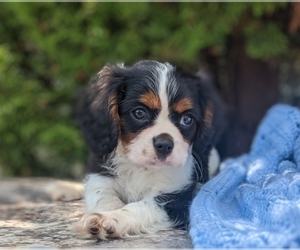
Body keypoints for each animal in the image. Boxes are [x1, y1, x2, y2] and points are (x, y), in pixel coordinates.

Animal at [74, 59, 226, 239]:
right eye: (139, 113)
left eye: (187, 119)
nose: (165, 144)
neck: (142, 167)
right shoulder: (100, 175)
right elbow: (103, 195)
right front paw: (101, 215)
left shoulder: (175, 200)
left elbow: (139, 208)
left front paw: (111, 218)